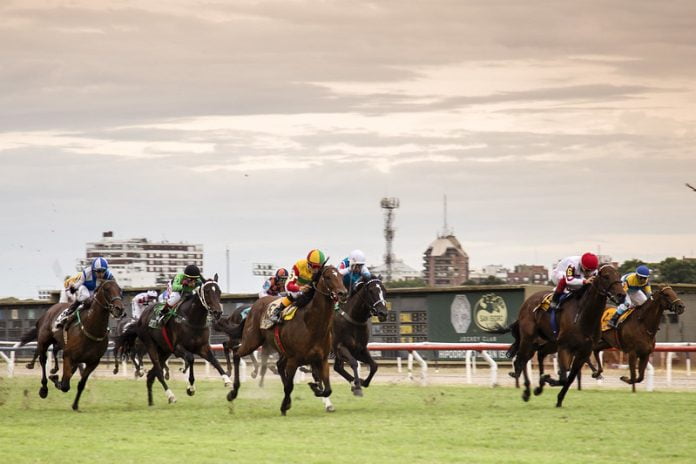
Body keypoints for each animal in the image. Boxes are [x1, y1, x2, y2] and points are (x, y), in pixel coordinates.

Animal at [18, 280, 124, 412]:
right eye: (106, 289)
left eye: (120, 290)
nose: (119, 309)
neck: (91, 328)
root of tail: (48, 311)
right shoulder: (68, 356)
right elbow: (64, 385)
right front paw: (54, 379)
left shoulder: (93, 362)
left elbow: (80, 384)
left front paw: (75, 405)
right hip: (44, 341)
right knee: (43, 360)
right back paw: (43, 388)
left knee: (55, 353)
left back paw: (53, 370)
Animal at [117, 276, 226, 406]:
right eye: (208, 291)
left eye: (219, 291)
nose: (218, 312)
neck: (192, 319)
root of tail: (140, 318)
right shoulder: (178, 348)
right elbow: (191, 358)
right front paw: (190, 388)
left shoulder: (203, 347)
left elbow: (214, 360)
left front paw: (228, 380)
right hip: (150, 346)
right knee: (157, 371)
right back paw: (170, 395)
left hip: (164, 351)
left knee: (151, 374)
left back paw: (151, 402)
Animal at [228, 264, 348, 416]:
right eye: (327, 277)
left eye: (341, 276)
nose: (343, 293)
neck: (311, 324)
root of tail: (254, 305)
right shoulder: (294, 360)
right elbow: (289, 386)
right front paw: (284, 406)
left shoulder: (322, 360)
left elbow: (327, 389)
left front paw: (315, 388)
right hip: (252, 340)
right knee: (237, 353)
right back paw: (233, 392)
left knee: (277, 364)